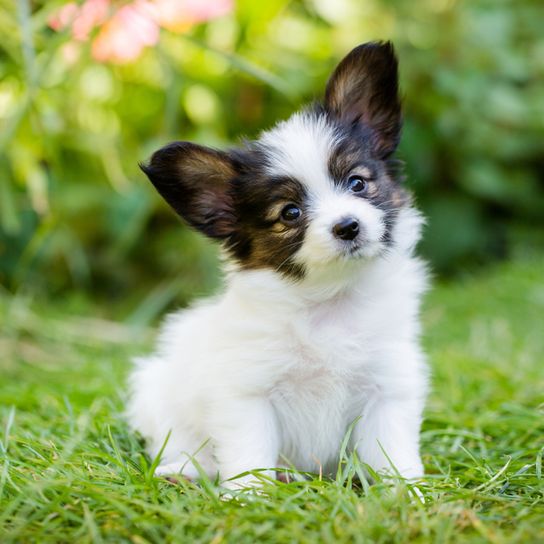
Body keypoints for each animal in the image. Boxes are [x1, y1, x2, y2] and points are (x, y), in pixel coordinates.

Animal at [126, 40, 430, 486]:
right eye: (290, 213)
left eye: (357, 183)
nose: (348, 226)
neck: (328, 302)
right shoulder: (246, 393)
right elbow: (248, 456)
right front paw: (247, 495)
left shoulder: (388, 387)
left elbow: (394, 455)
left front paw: (408, 494)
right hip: (156, 391)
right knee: (184, 442)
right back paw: (185, 470)